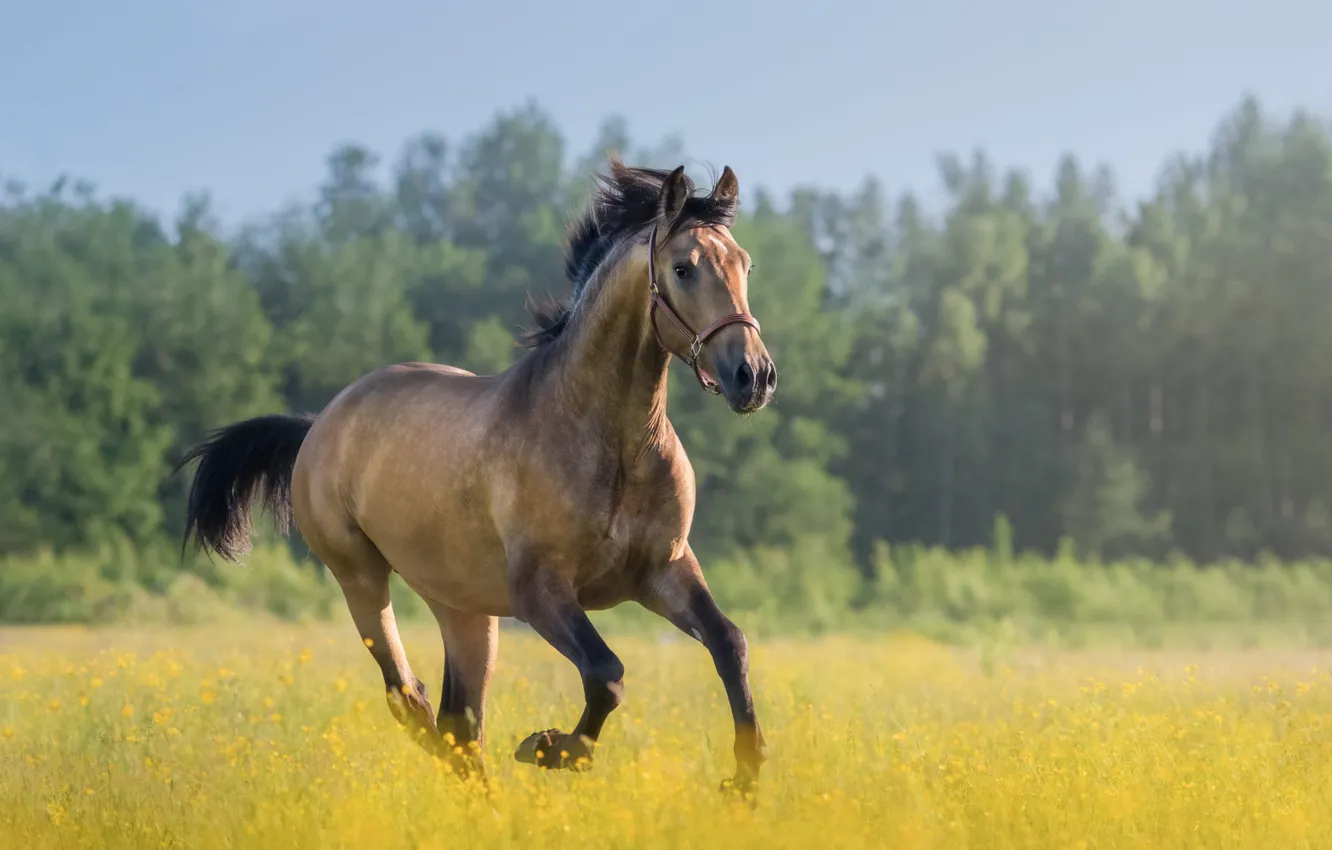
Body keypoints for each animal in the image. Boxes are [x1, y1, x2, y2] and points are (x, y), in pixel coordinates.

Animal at [176, 160, 776, 794]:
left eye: (744, 264)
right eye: (683, 268)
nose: (753, 376)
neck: (612, 441)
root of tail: (319, 424)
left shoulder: (665, 570)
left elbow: (729, 643)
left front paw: (744, 776)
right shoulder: (540, 591)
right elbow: (606, 673)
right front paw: (549, 747)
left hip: (463, 609)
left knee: (459, 721)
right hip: (361, 577)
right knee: (410, 699)